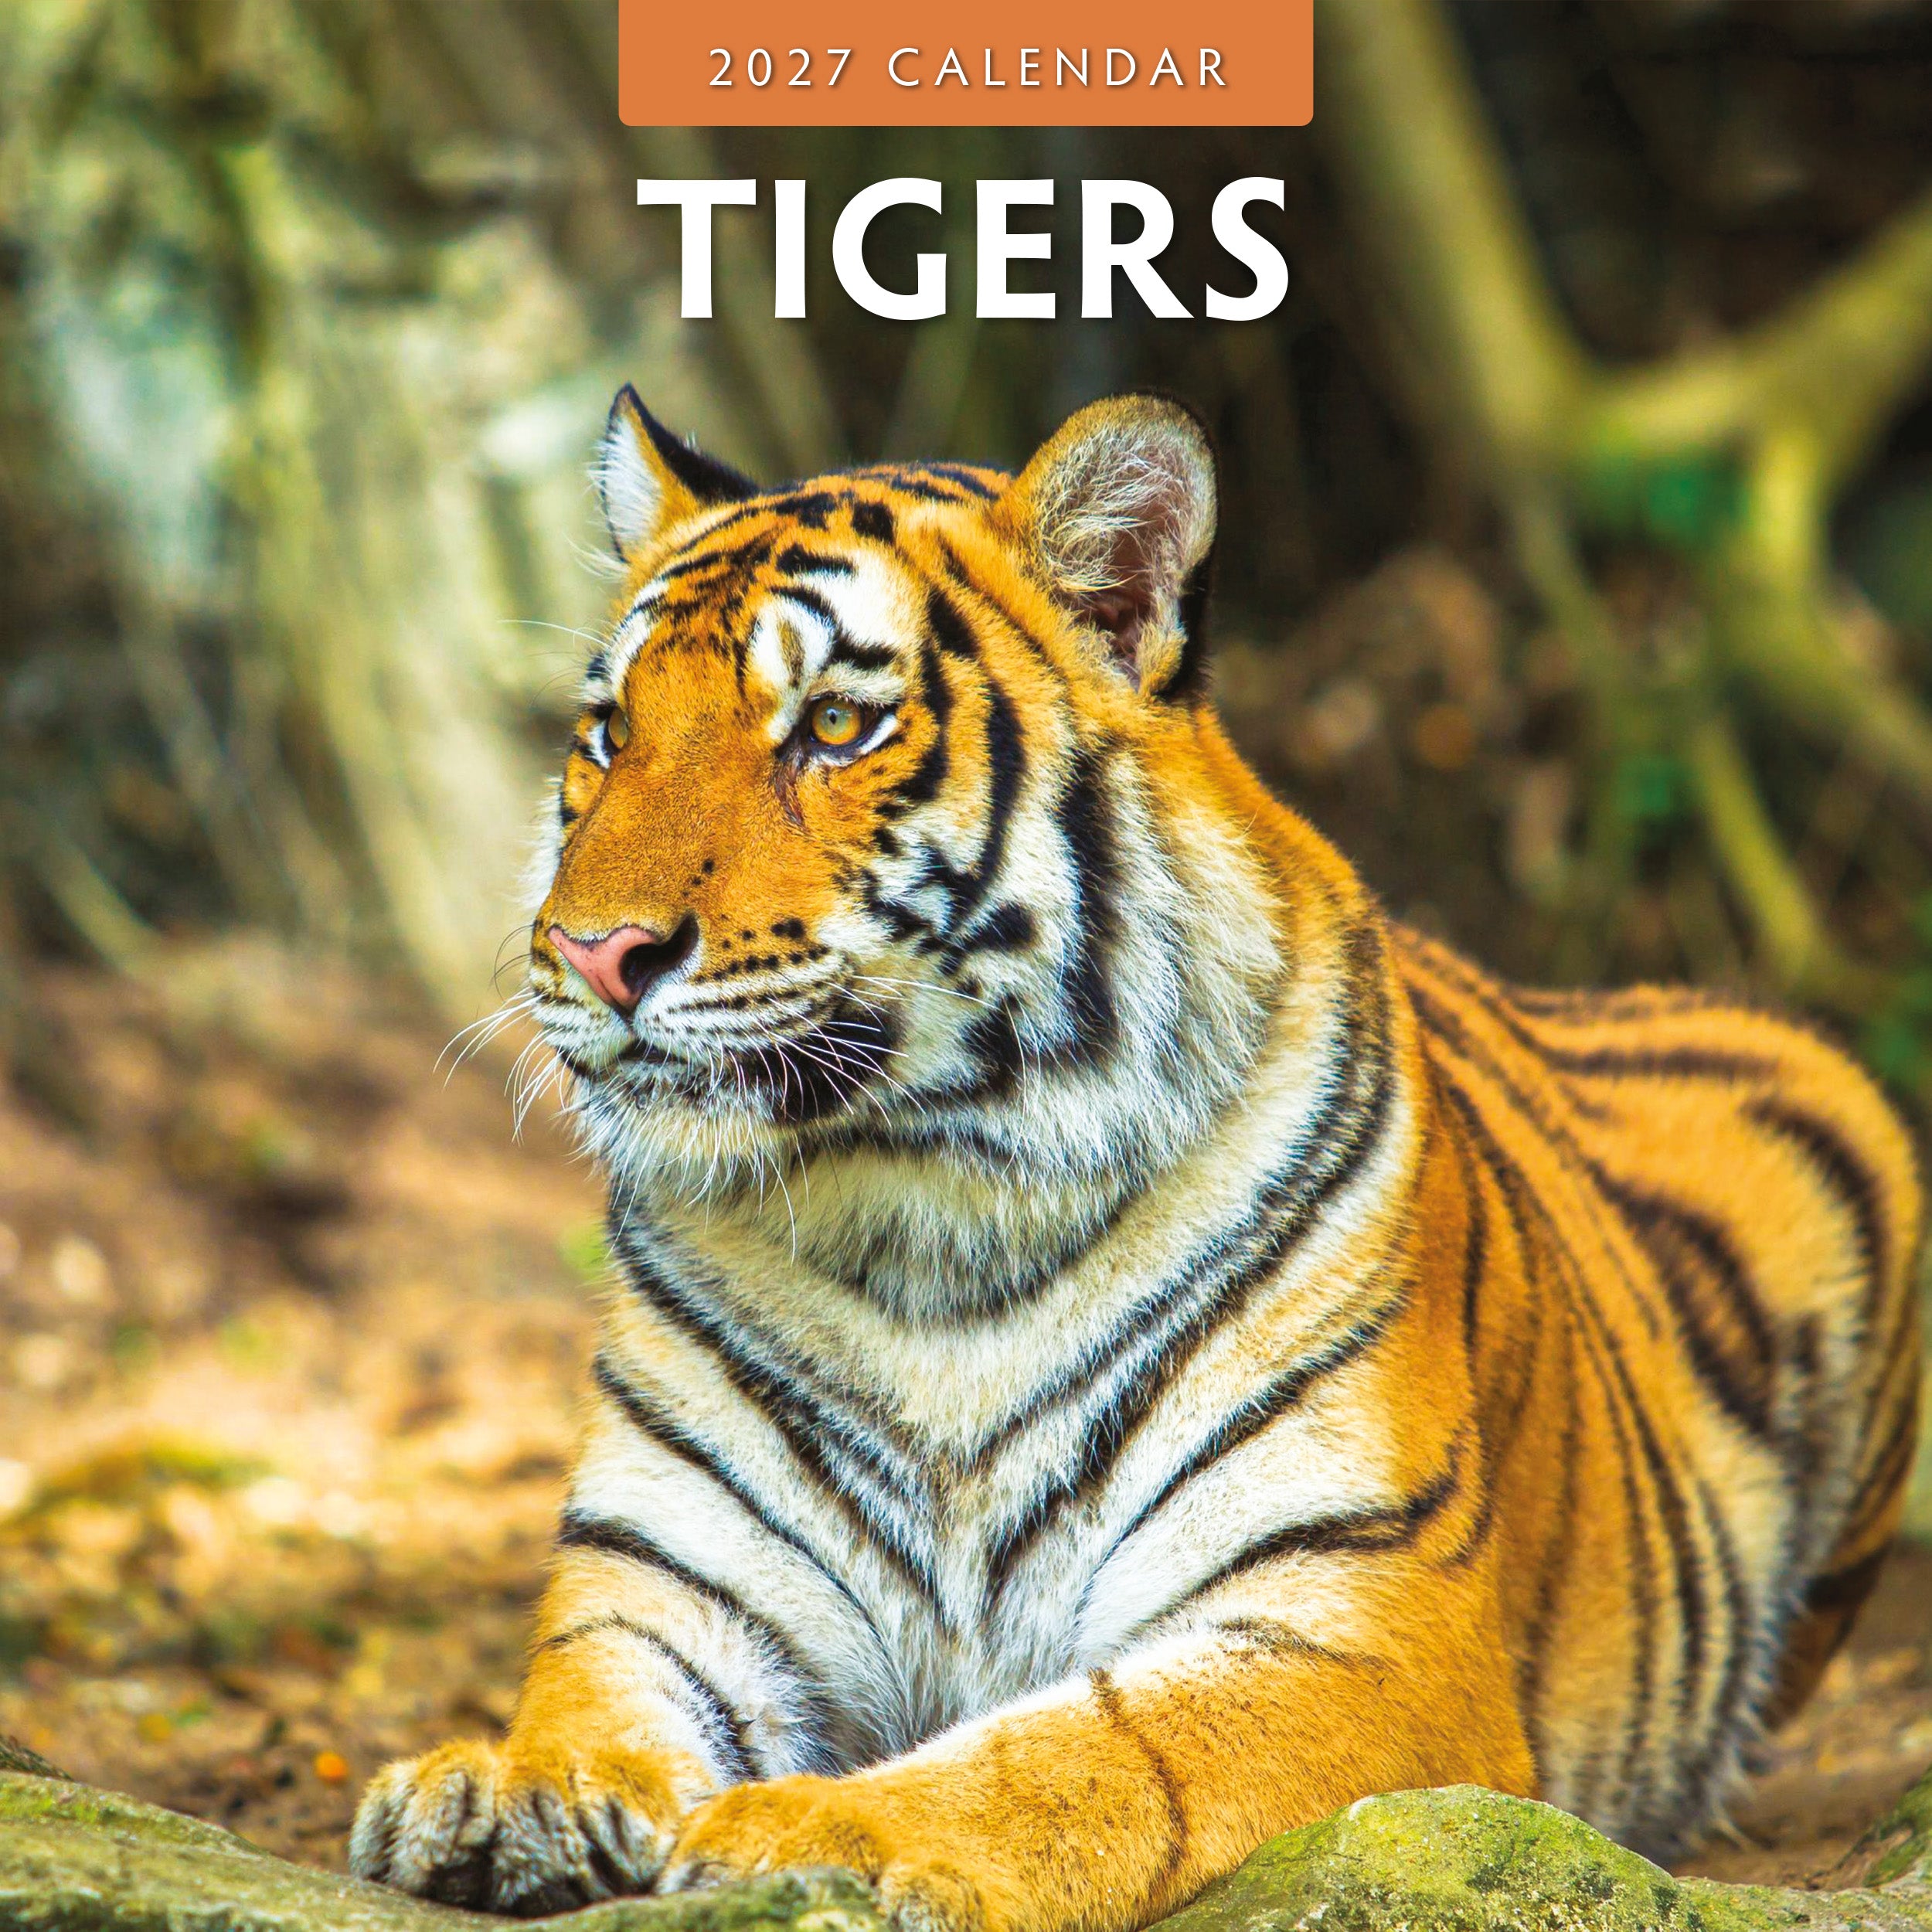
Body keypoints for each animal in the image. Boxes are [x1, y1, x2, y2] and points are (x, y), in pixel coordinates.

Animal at [349, 390, 1923, 1928]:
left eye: (837, 725)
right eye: (609, 732)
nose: (590, 954)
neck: (922, 1205)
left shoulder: (1354, 1622)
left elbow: (1076, 1755)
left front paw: (813, 1832)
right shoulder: (671, 1585)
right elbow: (592, 1703)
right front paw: (493, 1789)